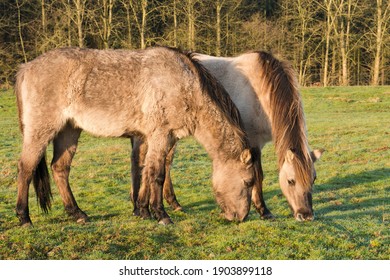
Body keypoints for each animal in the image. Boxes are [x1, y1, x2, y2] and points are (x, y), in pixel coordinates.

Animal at [14, 46, 262, 225]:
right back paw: (24, 217)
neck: (184, 84)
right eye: (249, 181)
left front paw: (143, 210)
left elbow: (144, 171)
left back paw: (77, 213)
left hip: (69, 131)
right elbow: (158, 174)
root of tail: (26, 67)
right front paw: (161, 214)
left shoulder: (148, 137)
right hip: (41, 131)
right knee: (26, 168)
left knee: (60, 169)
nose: (240, 217)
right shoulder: (161, 136)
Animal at [131, 50, 322, 221]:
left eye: (313, 180)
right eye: (291, 181)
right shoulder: (252, 143)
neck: (261, 90)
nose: (306, 215)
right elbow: (258, 175)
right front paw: (263, 210)